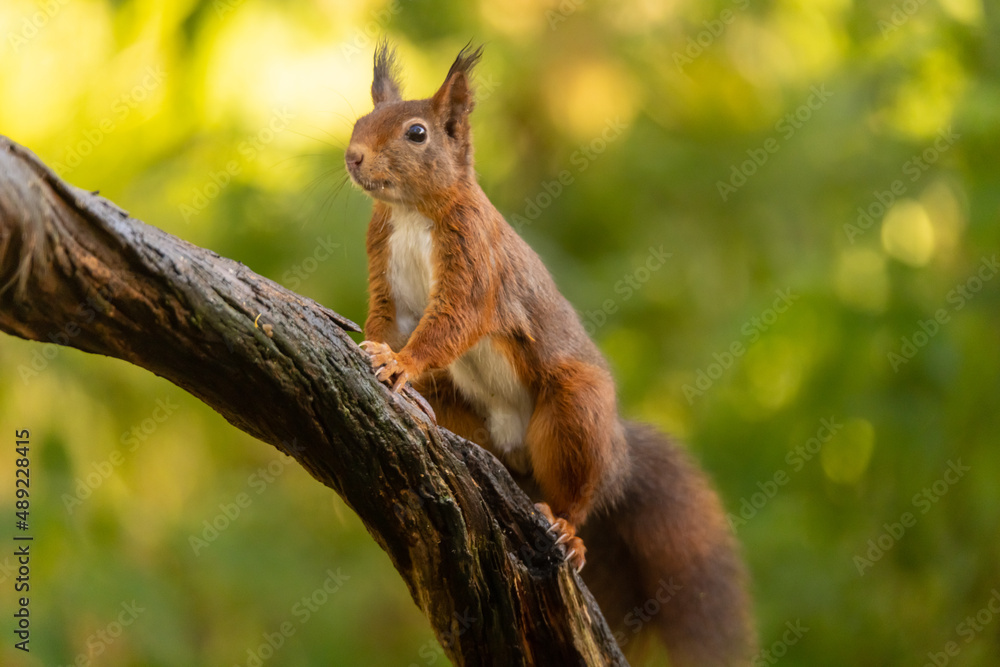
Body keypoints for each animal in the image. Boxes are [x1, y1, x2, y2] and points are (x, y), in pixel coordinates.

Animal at [344, 42, 755, 666]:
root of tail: (619, 460)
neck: (413, 210)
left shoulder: (476, 265)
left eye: (417, 133)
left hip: (573, 414)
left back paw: (567, 529)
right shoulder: (385, 270)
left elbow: (452, 323)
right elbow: (386, 320)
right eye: (361, 121)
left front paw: (401, 363)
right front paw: (372, 347)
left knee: (576, 493)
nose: (353, 157)